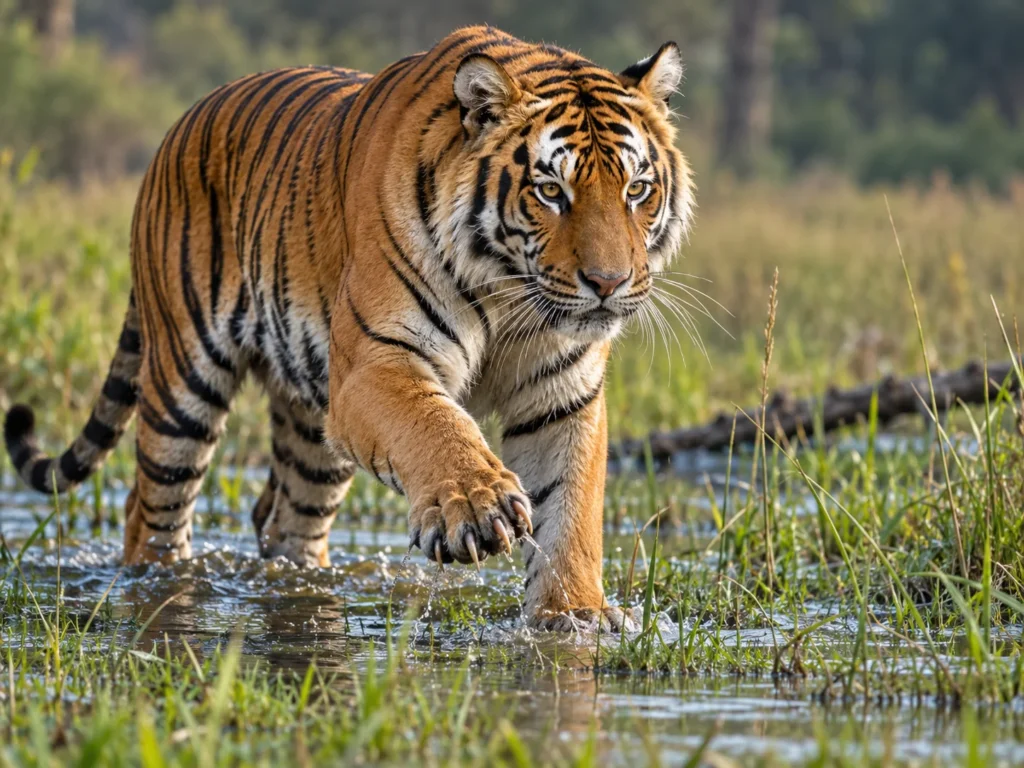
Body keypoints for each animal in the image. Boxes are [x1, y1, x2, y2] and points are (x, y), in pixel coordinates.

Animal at [3, 25, 693, 631]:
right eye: (551, 191)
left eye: (637, 189)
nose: (608, 282)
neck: (509, 292)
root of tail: (182, 122)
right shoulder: (377, 363)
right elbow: (434, 425)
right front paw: (476, 506)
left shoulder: (562, 395)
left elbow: (572, 509)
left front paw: (574, 615)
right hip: (183, 384)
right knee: (150, 511)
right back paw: (163, 587)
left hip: (312, 425)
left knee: (285, 520)